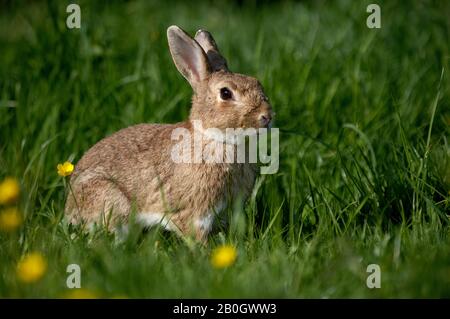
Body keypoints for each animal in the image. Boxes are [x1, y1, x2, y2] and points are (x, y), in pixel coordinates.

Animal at [64, 25, 272, 242]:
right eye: (225, 93)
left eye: (257, 82)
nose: (266, 116)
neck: (213, 138)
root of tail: (69, 207)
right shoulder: (196, 212)